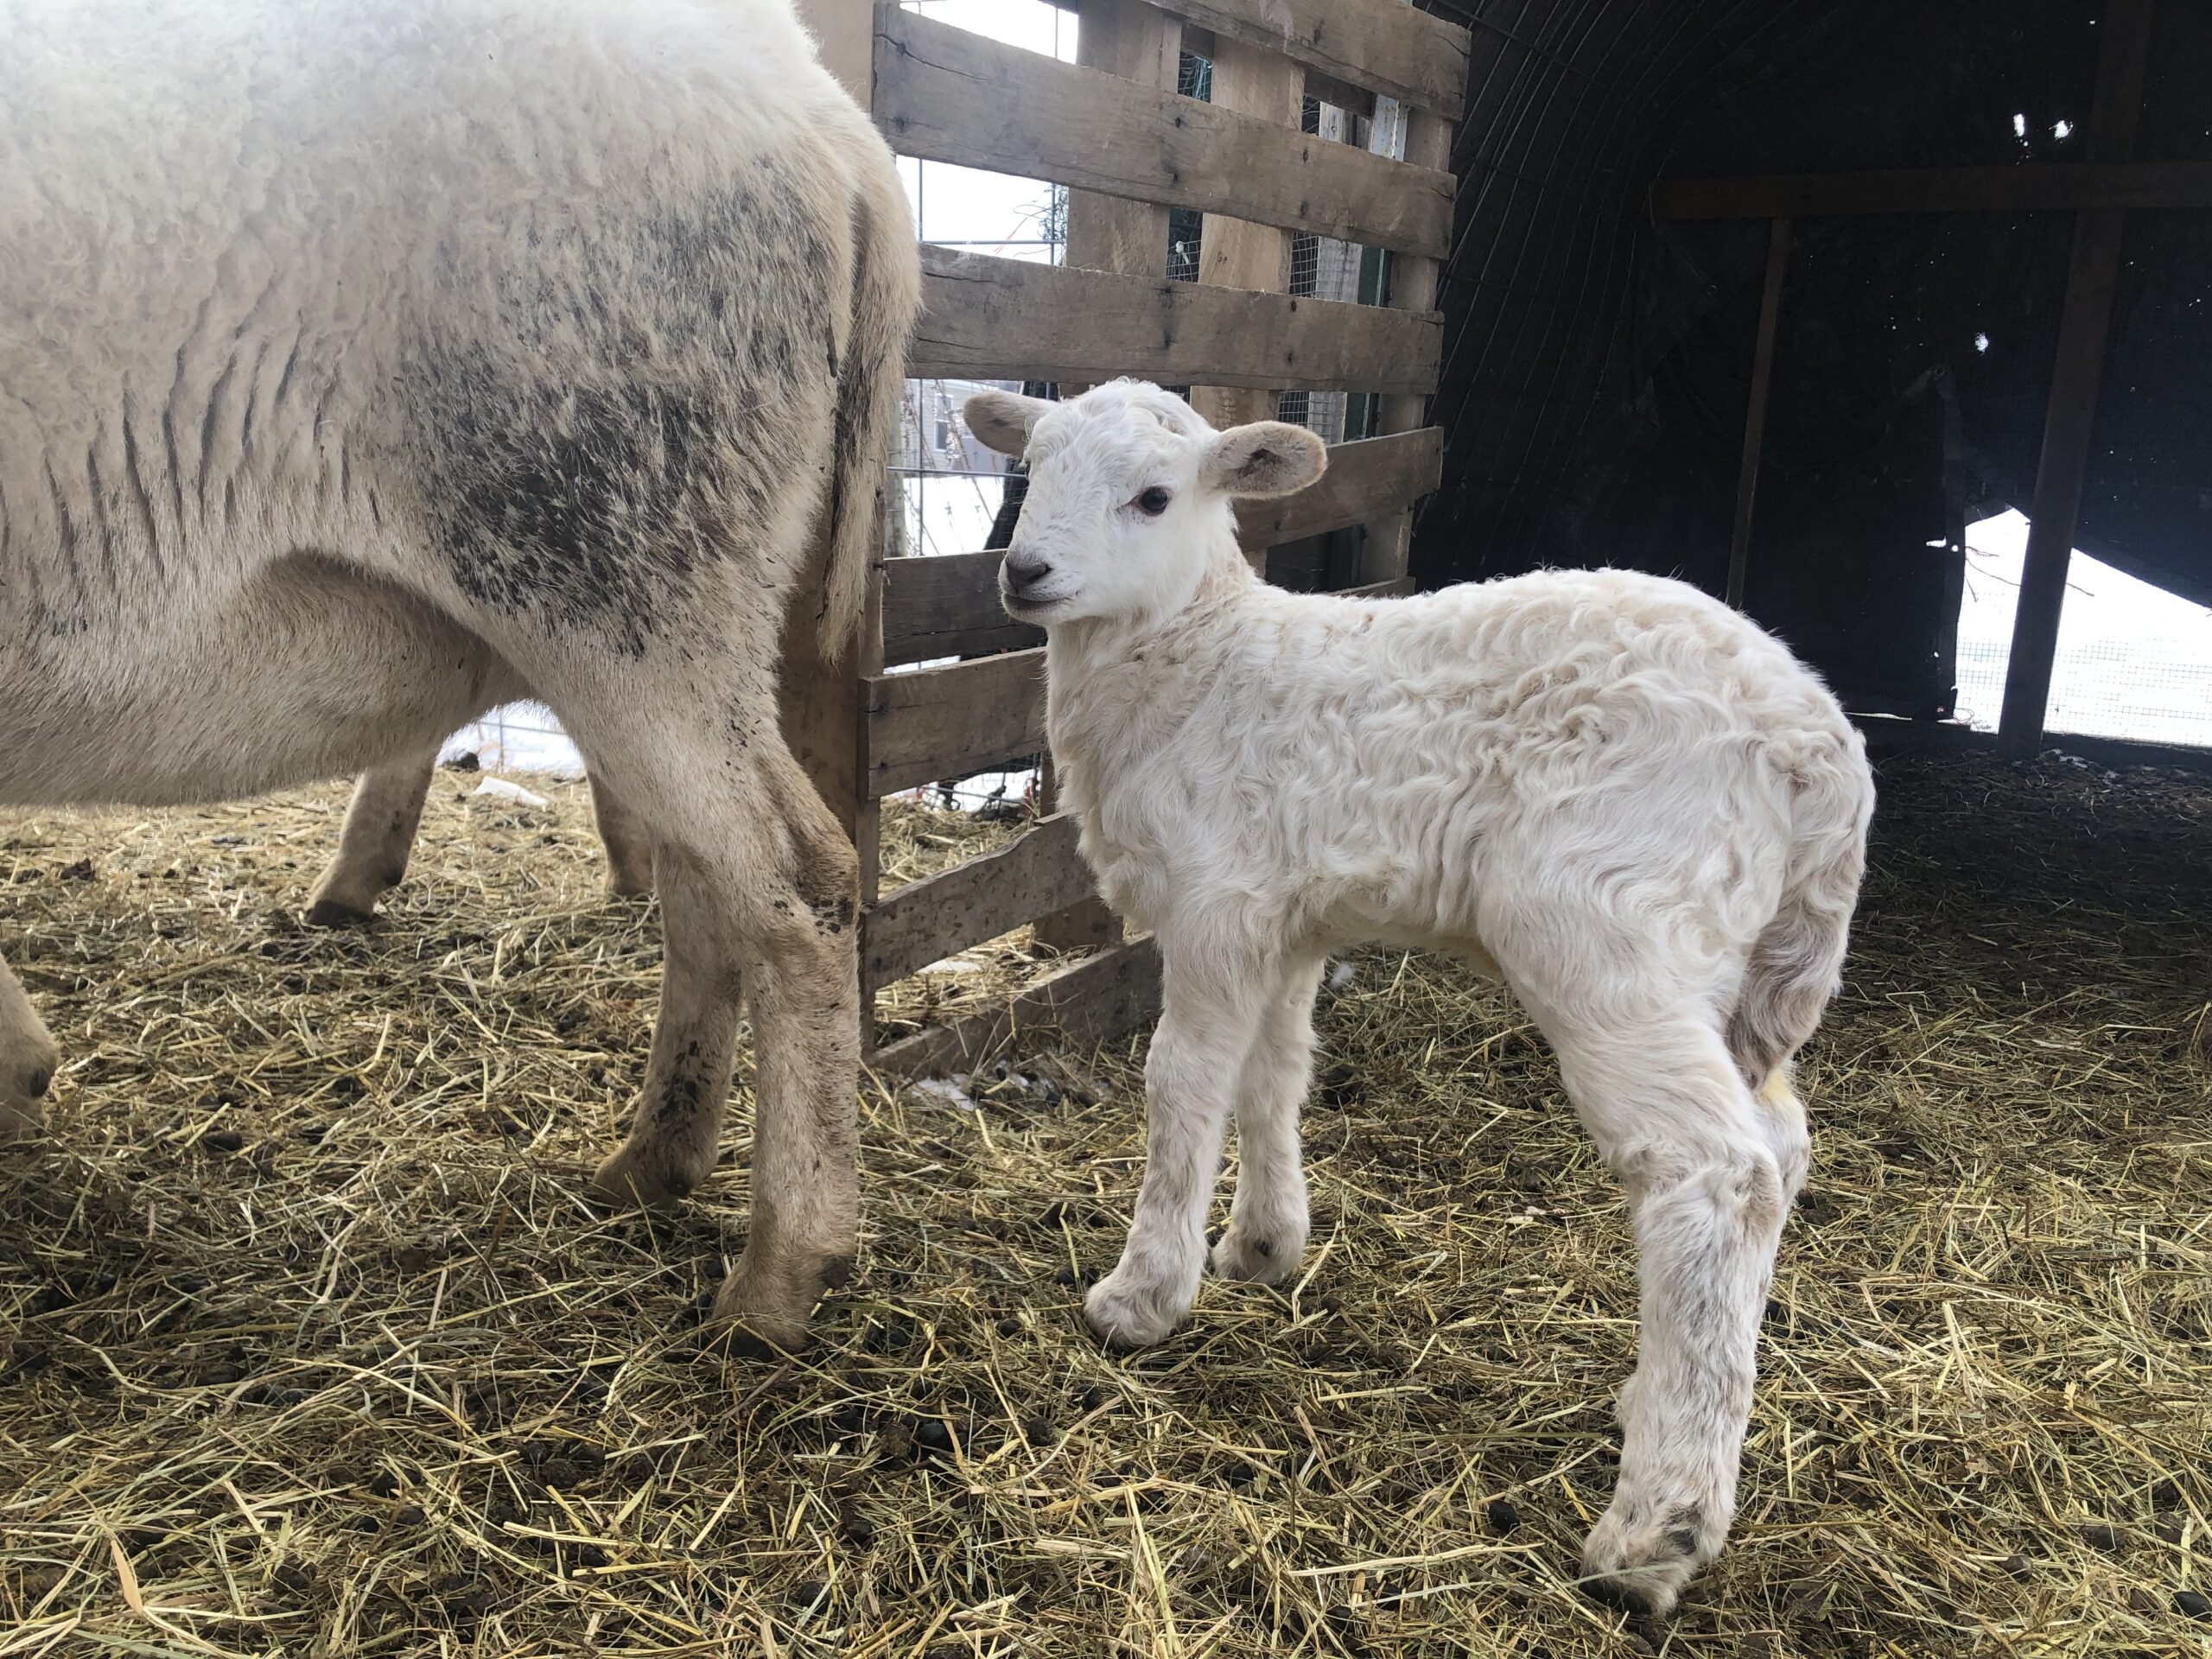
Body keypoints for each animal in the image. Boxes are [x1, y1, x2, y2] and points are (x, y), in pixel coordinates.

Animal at [0, 0, 921, 1350]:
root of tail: (821, 112)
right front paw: (15, 1071)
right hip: (644, 587)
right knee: (712, 887)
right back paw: (651, 1163)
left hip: (613, 538)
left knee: (799, 889)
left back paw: (777, 1279)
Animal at [962, 379, 1875, 1612]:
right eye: (1031, 467)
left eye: (1153, 497)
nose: (1026, 574)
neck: (1196, 659)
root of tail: (1817, 743)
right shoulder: (1285, 916)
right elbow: (1273, 1075)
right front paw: (1262, 1247)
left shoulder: (1215, 900)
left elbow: (1182, 1082)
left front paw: (1142, 1296)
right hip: (1736, 965)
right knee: (1779, 1144)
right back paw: (1662, 1409)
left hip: (1610, 926)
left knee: (1717, 1174)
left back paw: (1656, 1531)